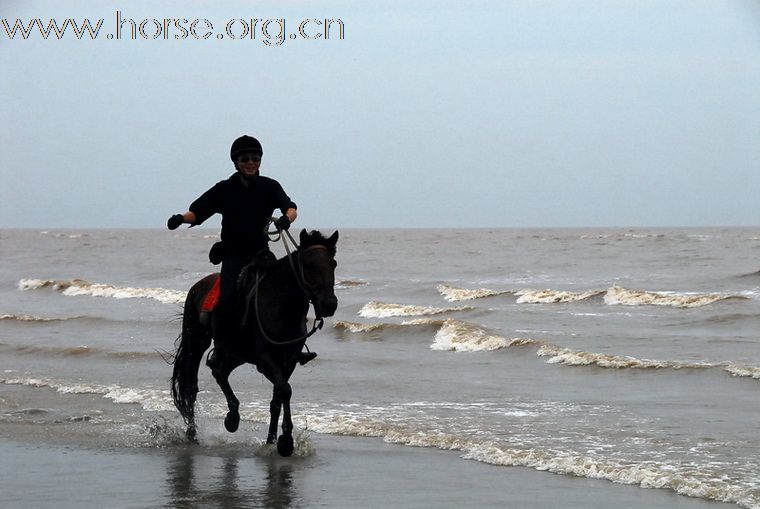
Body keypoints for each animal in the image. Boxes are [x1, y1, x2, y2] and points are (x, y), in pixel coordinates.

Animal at [174, 228, 340, 454]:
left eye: (333, 264)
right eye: (309, 265)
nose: (329, 304)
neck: (282, 305)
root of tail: (197, 286)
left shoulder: (288, 361)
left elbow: (277, 398)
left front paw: (272, 441)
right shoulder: (265, 358)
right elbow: (285, 390)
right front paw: (286, 440)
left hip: (237, 352)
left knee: (220, 371)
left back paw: (232, 417)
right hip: (197, 342)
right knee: (191, 386)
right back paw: (194, 434)